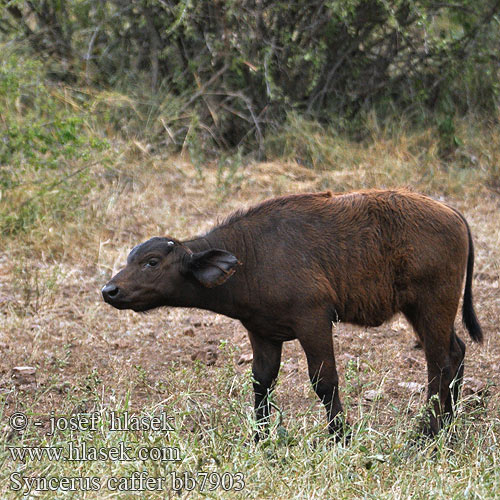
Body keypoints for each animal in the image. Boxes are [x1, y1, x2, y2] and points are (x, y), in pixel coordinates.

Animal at [102, 189, 484, 440]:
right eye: (130, 258)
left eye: (152, 262)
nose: (110, 290)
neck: (250, 259)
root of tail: (452, 214)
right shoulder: (262, 333)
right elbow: (261, 382)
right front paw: (261, 439)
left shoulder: (313, 321)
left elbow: (324, 381)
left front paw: (339, 437)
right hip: (421, 311)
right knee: (456, 353)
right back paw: (448, 427)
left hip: (432, 305)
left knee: (439, 363)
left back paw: (428, 432)